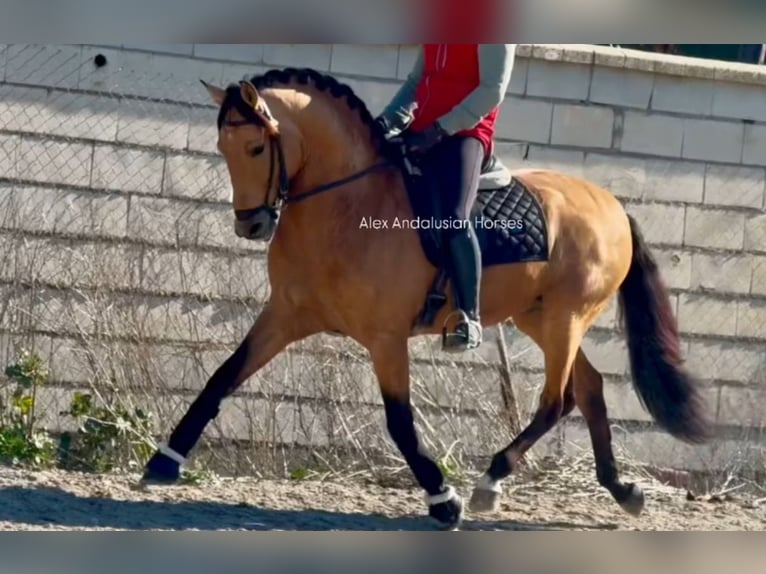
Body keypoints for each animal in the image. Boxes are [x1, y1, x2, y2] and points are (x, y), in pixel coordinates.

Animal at [141, 67, 716, 532]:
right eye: (223, 149)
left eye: (257, 148)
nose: (251, 225)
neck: (346, 204)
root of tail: (611, 204)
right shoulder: (284, 315)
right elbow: (222, 376)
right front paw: (165, 460)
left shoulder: (385, 338)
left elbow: (399, 421)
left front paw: (444, 499)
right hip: (539, 317)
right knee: (590, 389)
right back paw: (623, 491)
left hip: (566, 318)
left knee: (557, 401)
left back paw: (490, 482)